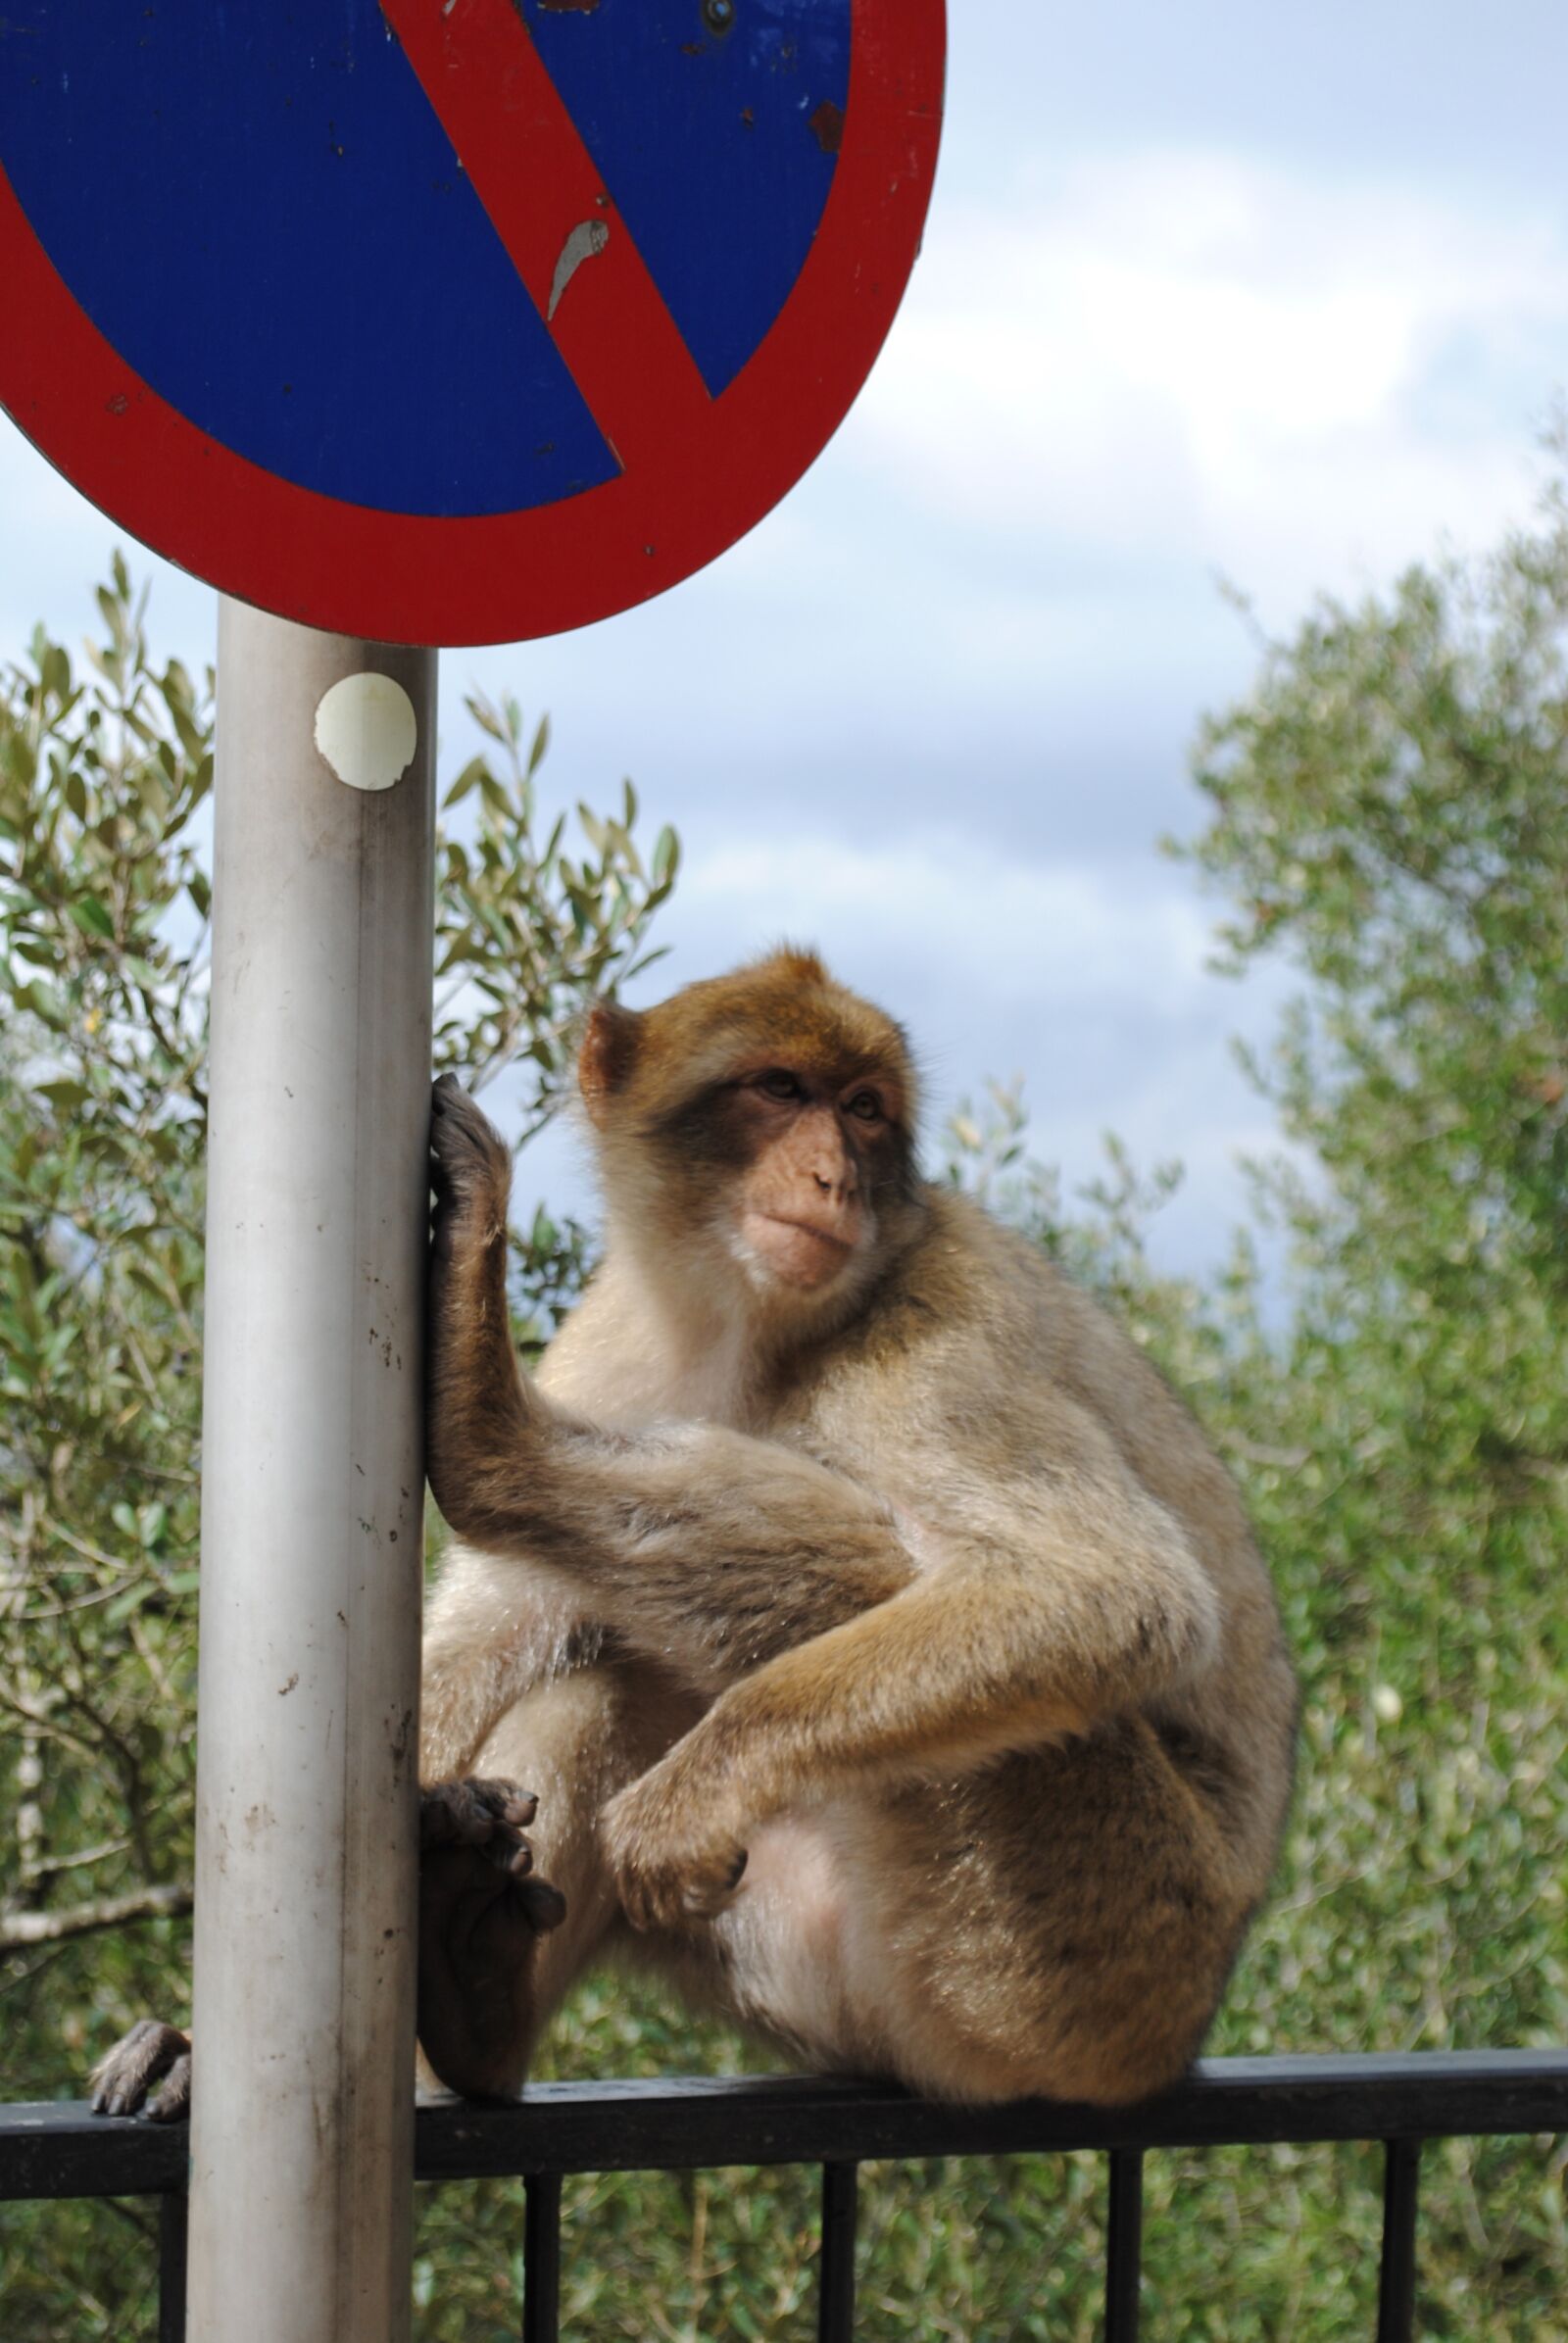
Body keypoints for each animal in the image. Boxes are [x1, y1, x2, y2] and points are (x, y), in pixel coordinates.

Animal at [90, 947, 1297, 2121]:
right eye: (781, 1090)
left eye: (864, 1109)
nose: (833, 1178)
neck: (741, 1322)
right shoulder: (612, 1337)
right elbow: (495, 1626)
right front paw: (200, 2039)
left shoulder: (939, 1326)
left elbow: (1107, 1592)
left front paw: (689, 1791)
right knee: (610, 1675)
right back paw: (477, 1996)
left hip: (1074, 1937)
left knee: (856, 1570)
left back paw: (493, 1444)